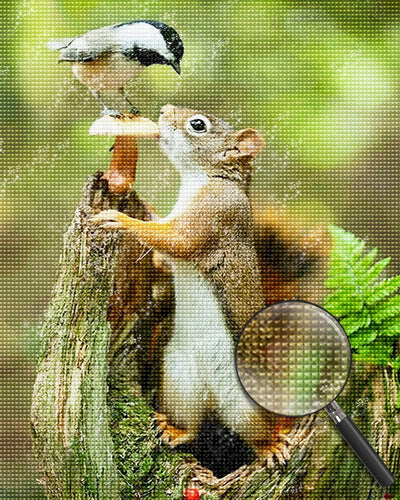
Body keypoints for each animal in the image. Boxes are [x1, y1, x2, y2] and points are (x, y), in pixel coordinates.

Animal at [92, 104, 286, 458]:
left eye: (198, 125)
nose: (164, 110)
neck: (202, 179)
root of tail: (212, 399)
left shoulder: (214, 214)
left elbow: (175, 240)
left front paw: (121, 219)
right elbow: (164, 255)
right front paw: (146, 207)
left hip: (247, 406)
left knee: (258, 434)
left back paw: (272, 447)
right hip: (179, 382)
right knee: (192, 425)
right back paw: (174, 430)